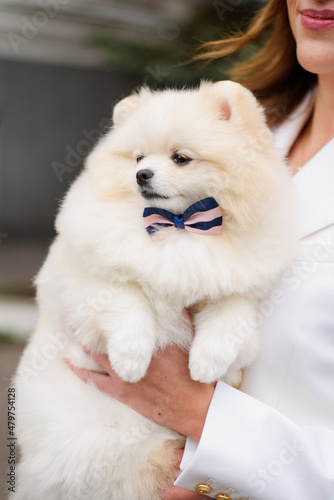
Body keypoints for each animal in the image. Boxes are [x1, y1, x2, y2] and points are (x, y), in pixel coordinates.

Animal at [11, 82, 296, 500]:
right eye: (138, 157)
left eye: (181, 158)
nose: (141, 174)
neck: (178, 226)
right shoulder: (86, 279)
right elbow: (128, 301)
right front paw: (131, 360)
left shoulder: (237, 287)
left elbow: (229, 321)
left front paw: (205, 364)